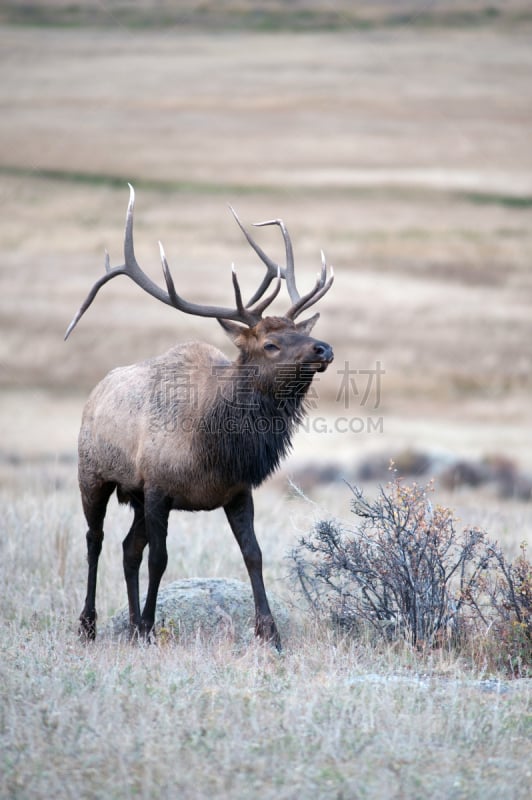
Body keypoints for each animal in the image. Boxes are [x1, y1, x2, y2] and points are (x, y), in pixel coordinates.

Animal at [65, 188, 332, 648]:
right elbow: (160, 559)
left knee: (127, 548)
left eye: (302, 330)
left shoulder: (237, 490)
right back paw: (90, 624)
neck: (214, 446)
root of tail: (95, 392)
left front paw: (270, 633)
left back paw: (130, 625)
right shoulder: (158, 487)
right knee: (95, 540)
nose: (324, 348)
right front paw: (150, 626)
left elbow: (254, 554)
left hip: (134, 496)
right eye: (271, 344)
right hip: (93, 474)